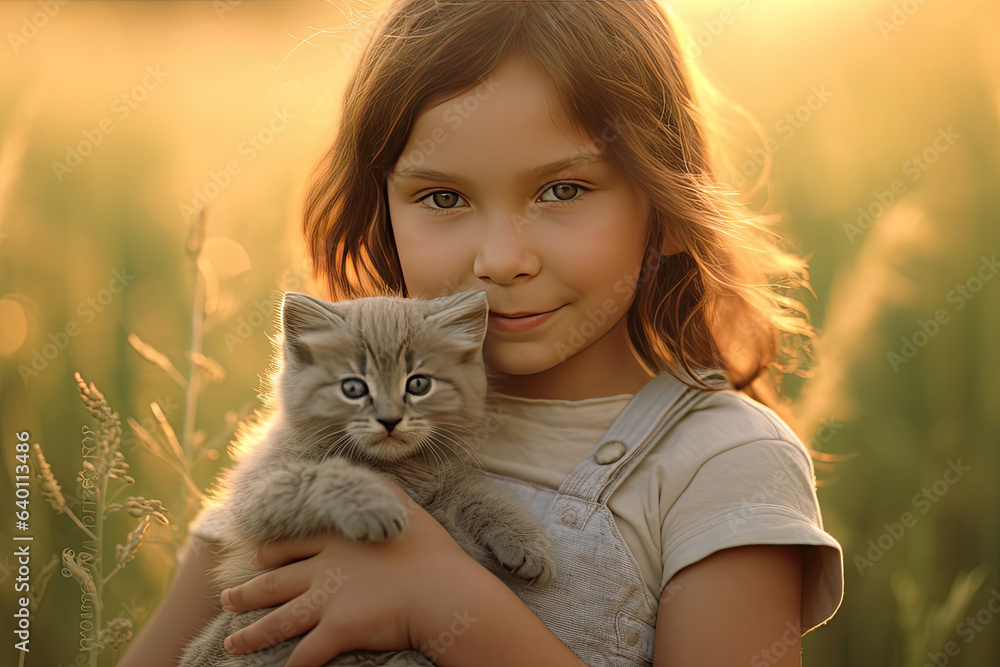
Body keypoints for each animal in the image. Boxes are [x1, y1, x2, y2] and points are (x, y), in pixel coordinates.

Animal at [180, 290, 556, 667]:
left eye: (418, 384)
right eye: (353, 388)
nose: (389, 420)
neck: (393, 468)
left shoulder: (445, 491)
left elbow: (479, 491)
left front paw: (527, 545)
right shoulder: (260, 486)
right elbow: (324, 474)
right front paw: (374, 507)